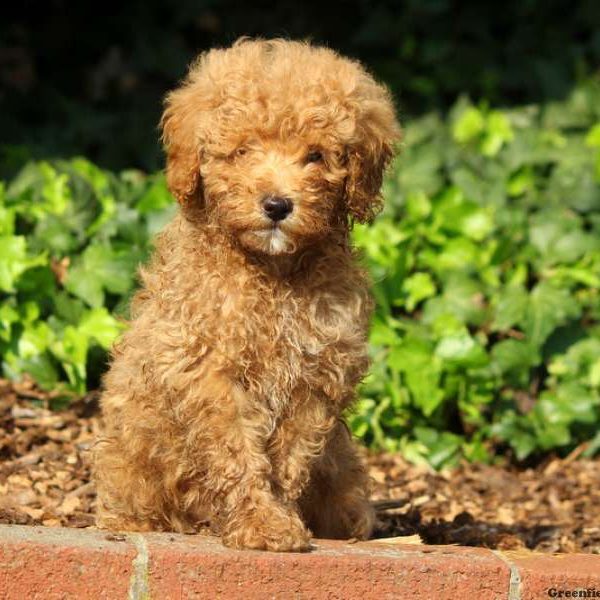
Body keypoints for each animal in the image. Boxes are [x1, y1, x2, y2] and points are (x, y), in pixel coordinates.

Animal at [95, 38, 398, 552]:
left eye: (316, 156)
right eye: (242, 150)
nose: (277, 205)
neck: (272, 274)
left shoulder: (316, 376)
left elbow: (289, 458)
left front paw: (278, 516)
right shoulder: (208, 372)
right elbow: (236, 452)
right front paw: (263, 523)